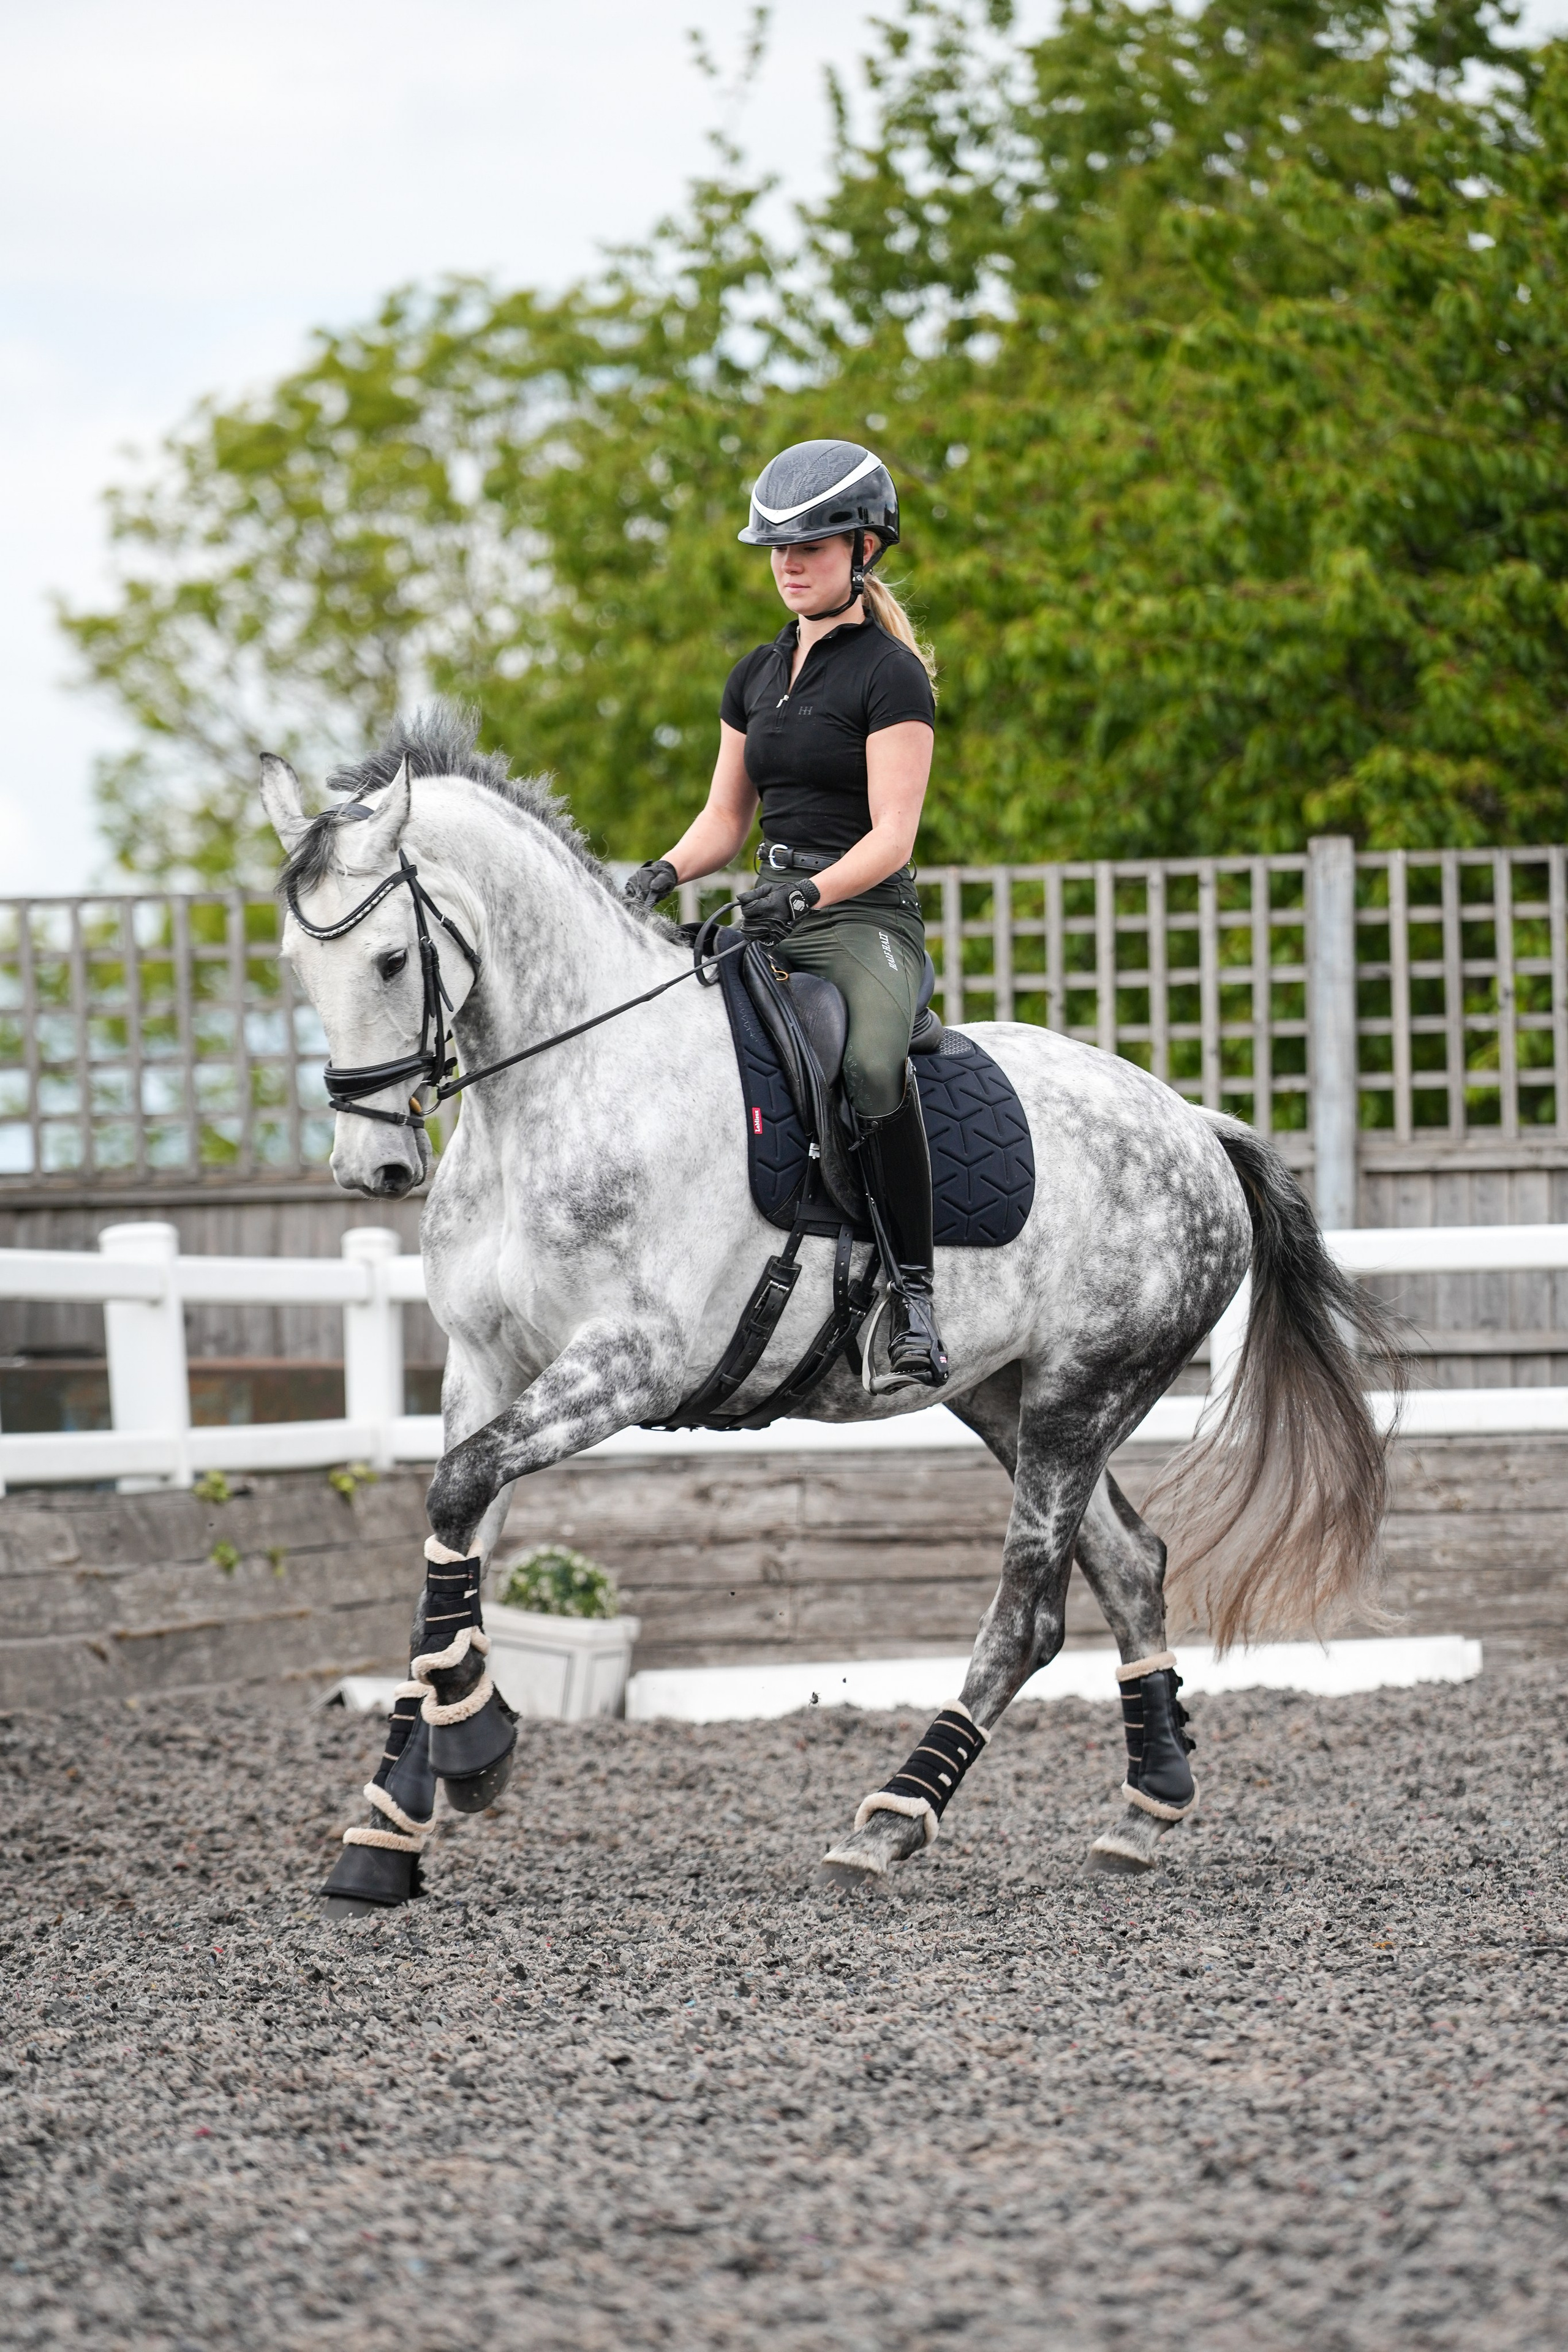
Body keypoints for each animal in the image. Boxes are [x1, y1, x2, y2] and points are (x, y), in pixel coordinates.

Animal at [259, 705, 1401, 1911]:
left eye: (390, 959)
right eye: (296, 963)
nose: (374, 1167)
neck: (567, 1088)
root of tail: (1195, 1126)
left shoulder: (626, 1364)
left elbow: (457, 1489)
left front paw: (476, 1757)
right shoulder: (486, 1365)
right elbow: (450, 1534)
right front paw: (389, 1828)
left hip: (1082, 1398)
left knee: (1029, 1612)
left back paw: (894, 1819)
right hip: (1009, 1399)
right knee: (1131, 1565)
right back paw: (1146, 1809)